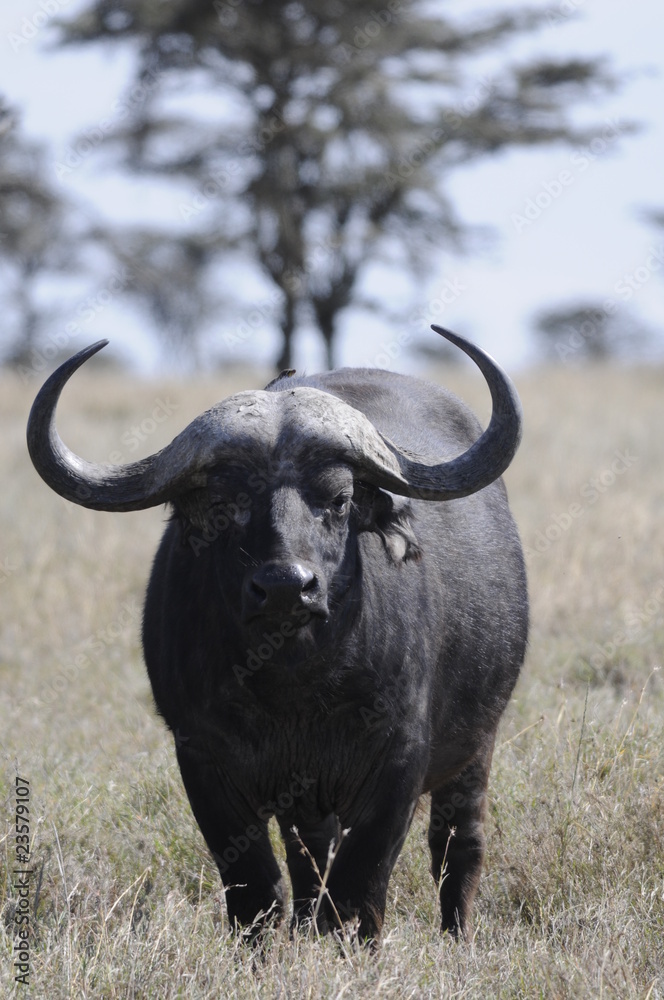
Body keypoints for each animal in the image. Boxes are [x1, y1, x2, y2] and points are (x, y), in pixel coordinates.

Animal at [27, 328, 528, 944]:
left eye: (339, 499)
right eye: (223, 502)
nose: (288, 587)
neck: (295, 687)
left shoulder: (399, 761)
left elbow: (360, 885)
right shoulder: (203, 760)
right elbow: (255, 887)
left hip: (478, 745)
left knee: (457, 846)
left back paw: (457, 932)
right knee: (309, 858)